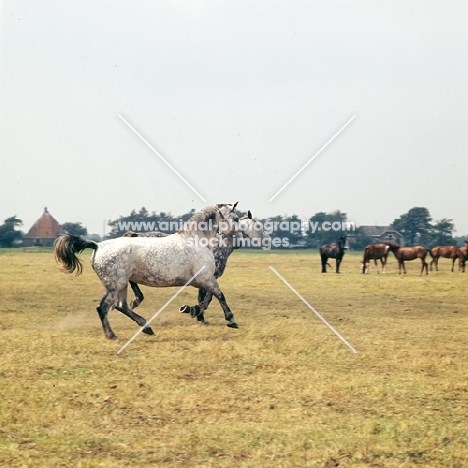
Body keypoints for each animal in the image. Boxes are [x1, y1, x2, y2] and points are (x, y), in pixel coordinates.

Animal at [54, 203, 241, 338]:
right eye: (236, 218)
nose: (240, 239)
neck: (196, 240)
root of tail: (97, 246)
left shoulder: (202, 281)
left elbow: (207, 299)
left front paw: (193, 310)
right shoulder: (206, 278)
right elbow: (219, 296)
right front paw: (231, 320)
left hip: (121, 285)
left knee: (121, 306)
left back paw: (146, 328)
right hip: (115, 285)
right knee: (103, 308)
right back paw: (112, 335)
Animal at [126, 212, 270, 326]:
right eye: (258, 226)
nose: (268, 240)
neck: (218, 245)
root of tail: (135, 235)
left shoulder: (206, 279)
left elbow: (205, 297)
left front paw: (196, 313)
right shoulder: (208, 278)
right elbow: (209, 298)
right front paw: (195, 311)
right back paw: (136, 300)